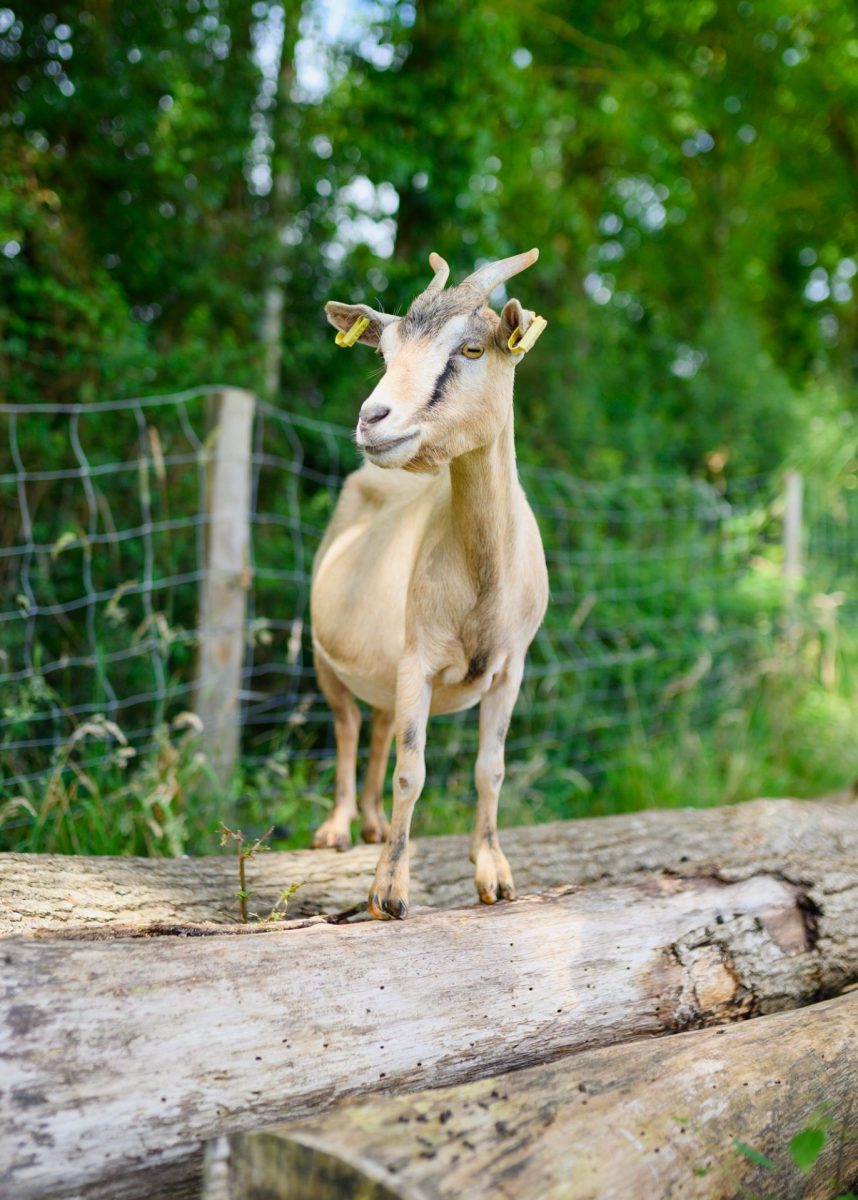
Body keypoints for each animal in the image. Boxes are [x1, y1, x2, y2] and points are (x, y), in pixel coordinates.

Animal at [310, 249, 549, 919]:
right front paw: (388, 891)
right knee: (348, 729)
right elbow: (410, 772)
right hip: (324, 660)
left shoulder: (511, 666)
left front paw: (493, 873)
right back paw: (339, 829)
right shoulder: (416, 658)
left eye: (471, 349)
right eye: (385, 352)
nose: (373, 420)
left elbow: (490, 768)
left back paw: (369, 825)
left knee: (378, 729)